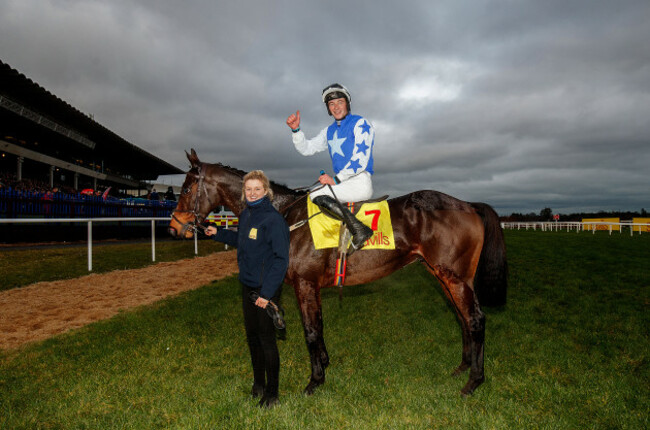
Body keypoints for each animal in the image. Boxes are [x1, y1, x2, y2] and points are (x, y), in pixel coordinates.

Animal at [168, 150, 506, 396]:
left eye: (185, 188)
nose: (173, 227)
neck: (285, 218)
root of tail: (467, 204)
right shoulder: (309, 286)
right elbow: (318, 326)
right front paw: (325, 366)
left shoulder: (305, 283)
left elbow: (310, 331)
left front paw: (315, 381)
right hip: (443, 276)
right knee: (462, 318)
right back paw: (463, 368)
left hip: (455, 277)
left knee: (475, 319)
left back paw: (474, 381)